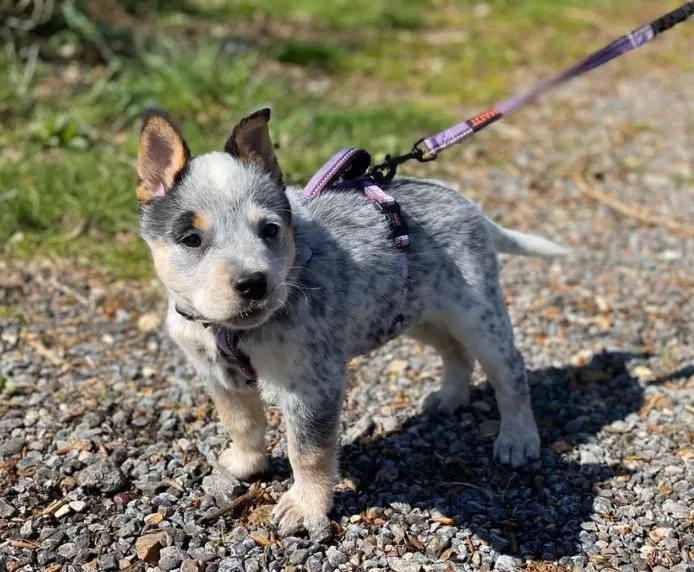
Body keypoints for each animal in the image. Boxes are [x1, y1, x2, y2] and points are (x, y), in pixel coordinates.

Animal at [136, 109, 572, 540]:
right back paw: (449, 397)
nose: (254, 283)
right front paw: (245, 464)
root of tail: (466, 204)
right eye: (191, 239)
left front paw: (305, 506)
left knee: (510, 370)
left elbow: (308, 452)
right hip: (414, 312)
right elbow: (241, 422)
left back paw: (517, 438)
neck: (231, 333)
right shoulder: (216, 375)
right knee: (456, 354)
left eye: (270, 230)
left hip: (477, 315)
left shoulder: (313, 386)